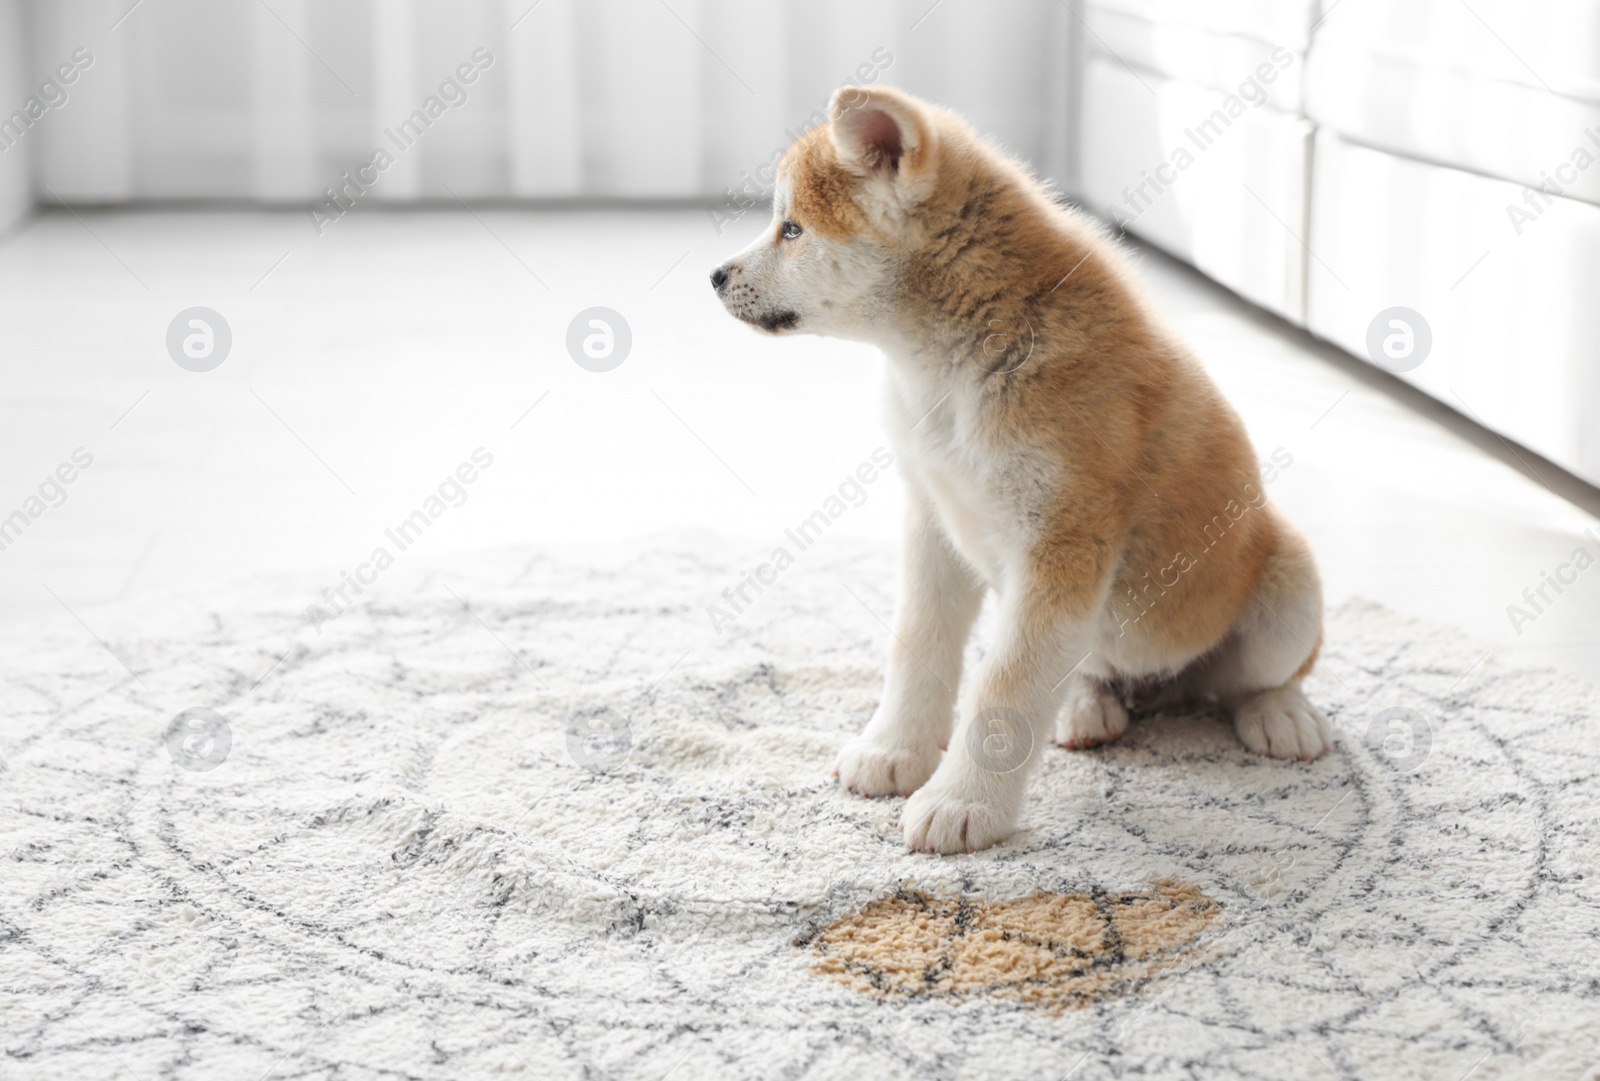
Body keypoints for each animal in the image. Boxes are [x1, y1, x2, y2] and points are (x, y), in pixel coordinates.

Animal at [710, 84, 1324, 850]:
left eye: (791, 229)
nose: (715, 276)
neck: (954, 371)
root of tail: (1165, 687)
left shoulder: (1061, 547)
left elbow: (1005, 685)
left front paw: (963, 802)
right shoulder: (934, 519)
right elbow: (918, 647)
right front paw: (895, 749)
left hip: (1288, 584)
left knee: (1256, 681)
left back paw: (1280, 714)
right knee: (1096, 670)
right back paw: (1088, 706)